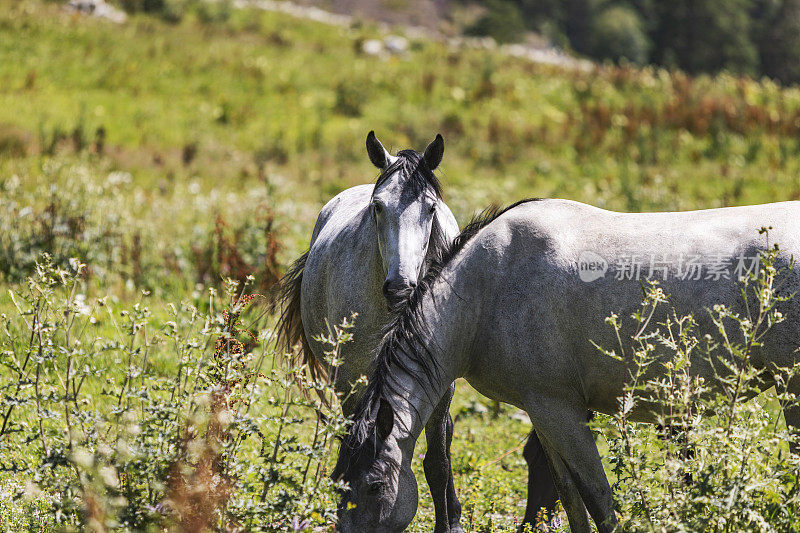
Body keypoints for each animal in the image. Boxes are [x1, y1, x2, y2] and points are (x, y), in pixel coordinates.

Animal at [276, 131, 462, 528]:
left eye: (431, 209)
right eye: (378, 207)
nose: (400, 287)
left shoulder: (443, 385)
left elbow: (438, 462)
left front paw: (449, 522)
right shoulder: (349, 380)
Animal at [334, 200, 800, 532]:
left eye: (374, 486)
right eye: (339, 482)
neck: (484, 291)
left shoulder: (561, 411)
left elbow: (599, 500)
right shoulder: (543, 413)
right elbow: (570, 497)